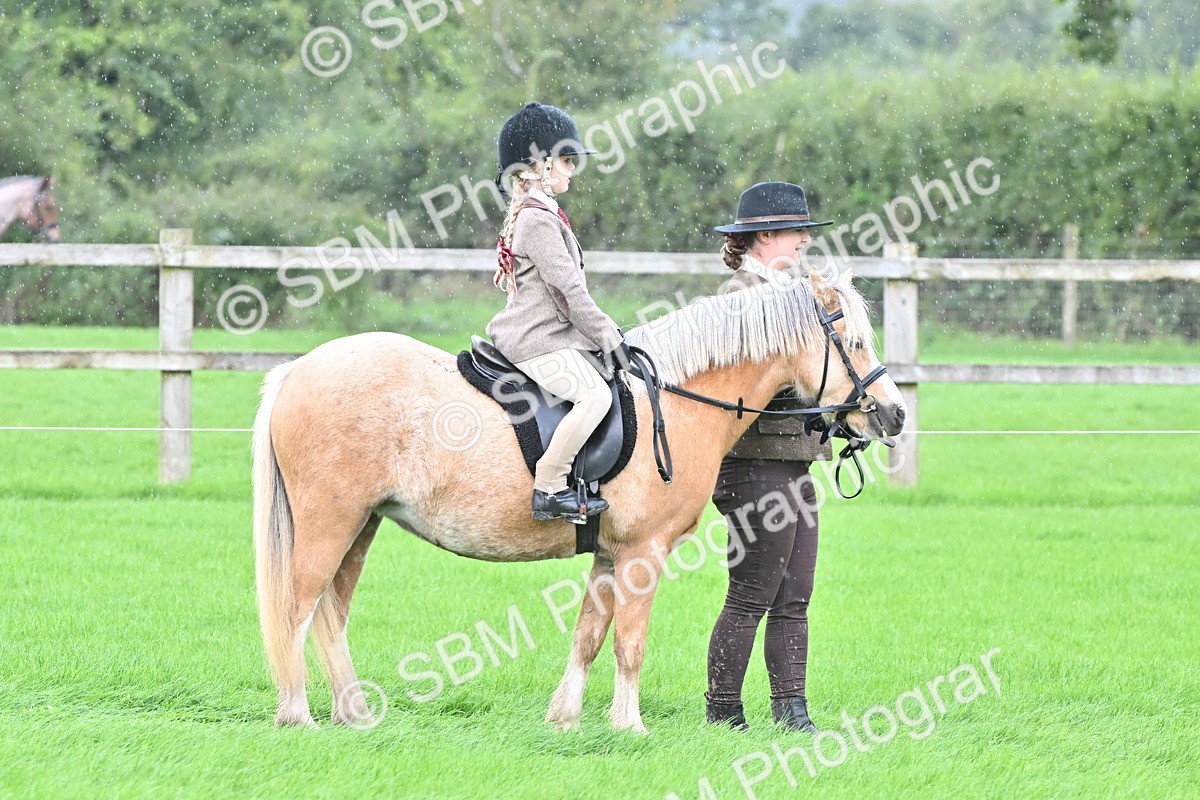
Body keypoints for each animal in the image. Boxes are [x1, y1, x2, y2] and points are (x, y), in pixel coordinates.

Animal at [252, 264, 906, 732]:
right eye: (853, 341)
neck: (677, 398)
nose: (894, 414)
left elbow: (589, 634)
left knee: (331, 615)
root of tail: (296, 371)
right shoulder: (643, 552)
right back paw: (298, 715)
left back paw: (354, 714)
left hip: (361, 526)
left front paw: (564, 720)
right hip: (330, 523)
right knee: (298, 610)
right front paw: (629, 726)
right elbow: (629, 641)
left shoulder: (611, 554)